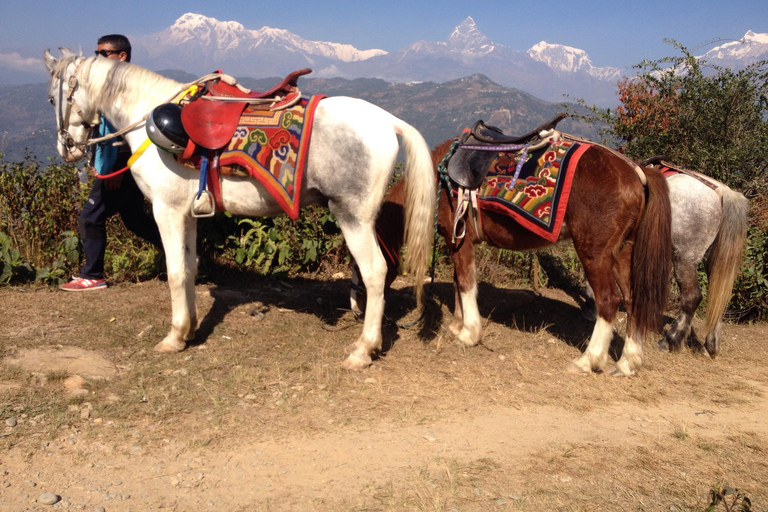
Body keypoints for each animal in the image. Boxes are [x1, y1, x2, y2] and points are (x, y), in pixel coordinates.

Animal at [45, 48, 436, 368]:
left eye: (51, 98)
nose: (67, 149)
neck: (147, 118)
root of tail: (388, 121)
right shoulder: (187, 214)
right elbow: (189, 267)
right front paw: (190, 328)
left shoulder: (166, 211)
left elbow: (174, 272)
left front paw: (174, 336)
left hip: (352, 217)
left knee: (375, 272)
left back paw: (364, 349)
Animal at [352, 137, 668, 376]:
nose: (356, 308)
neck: (438, 178)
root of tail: (635, 173)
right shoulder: (456, 241)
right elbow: (457, 281)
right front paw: (457, 325)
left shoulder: (460, 240)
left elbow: (465, 282)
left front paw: (469, 333)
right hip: (622, 253)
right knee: (633, 299)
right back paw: (628, 363)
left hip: (594, 253)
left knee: (609, 301)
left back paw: (588, 360)